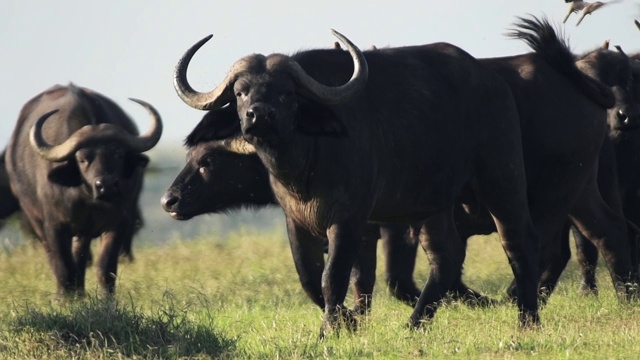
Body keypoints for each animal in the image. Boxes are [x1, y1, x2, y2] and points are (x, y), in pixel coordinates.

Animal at [5, 83, 162, 296]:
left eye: (118, 154)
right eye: (82, 159)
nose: (106, 185)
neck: (87, 198)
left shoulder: (117, 223)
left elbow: (105, 267)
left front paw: (106, 299)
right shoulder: (55, 226)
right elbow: (63, 266)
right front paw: (64, 298)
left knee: (81, 256)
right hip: (36, 221)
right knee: (56, 257)